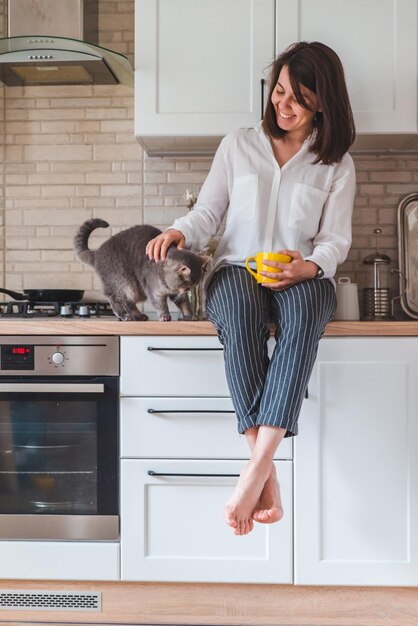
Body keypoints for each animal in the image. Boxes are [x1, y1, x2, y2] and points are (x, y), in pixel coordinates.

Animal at [74, 217, 208, 320]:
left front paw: (189, 315)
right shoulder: (154, 291)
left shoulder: (176, 292)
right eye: (189, 286)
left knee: (128, 302)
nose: (190, 289)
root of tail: (97, 253)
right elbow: (160, 304)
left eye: (195, 284)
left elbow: (184, 303)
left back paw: (138, 315)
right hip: (124, 283)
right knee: (113, 298)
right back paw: (124, 315)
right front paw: (164, 315)